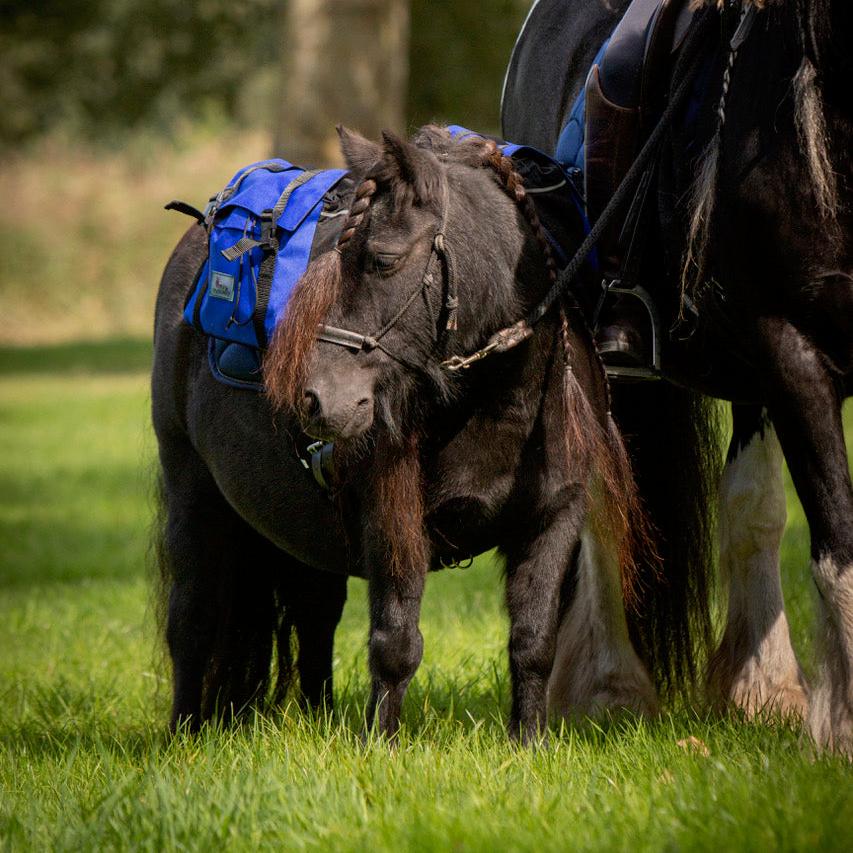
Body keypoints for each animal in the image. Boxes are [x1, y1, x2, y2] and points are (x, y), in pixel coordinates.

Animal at [153, 125, 656, 740]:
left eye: (383, 259)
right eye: (335, 258)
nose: (315, 398)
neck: (490, 404)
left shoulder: (554, 517)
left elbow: (534, 642)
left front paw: (528, 743)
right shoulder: (393, 516)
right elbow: (395, 644)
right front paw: (380, 744)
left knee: (315, 619)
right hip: (193, 492)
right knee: (192, 619)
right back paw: (185, 735)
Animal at [502, 0, 848, 744]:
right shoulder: (796, 353)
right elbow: (840, 546)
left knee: (750, 503)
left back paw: (760, 686)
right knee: (606, 505)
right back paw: (611, 689)